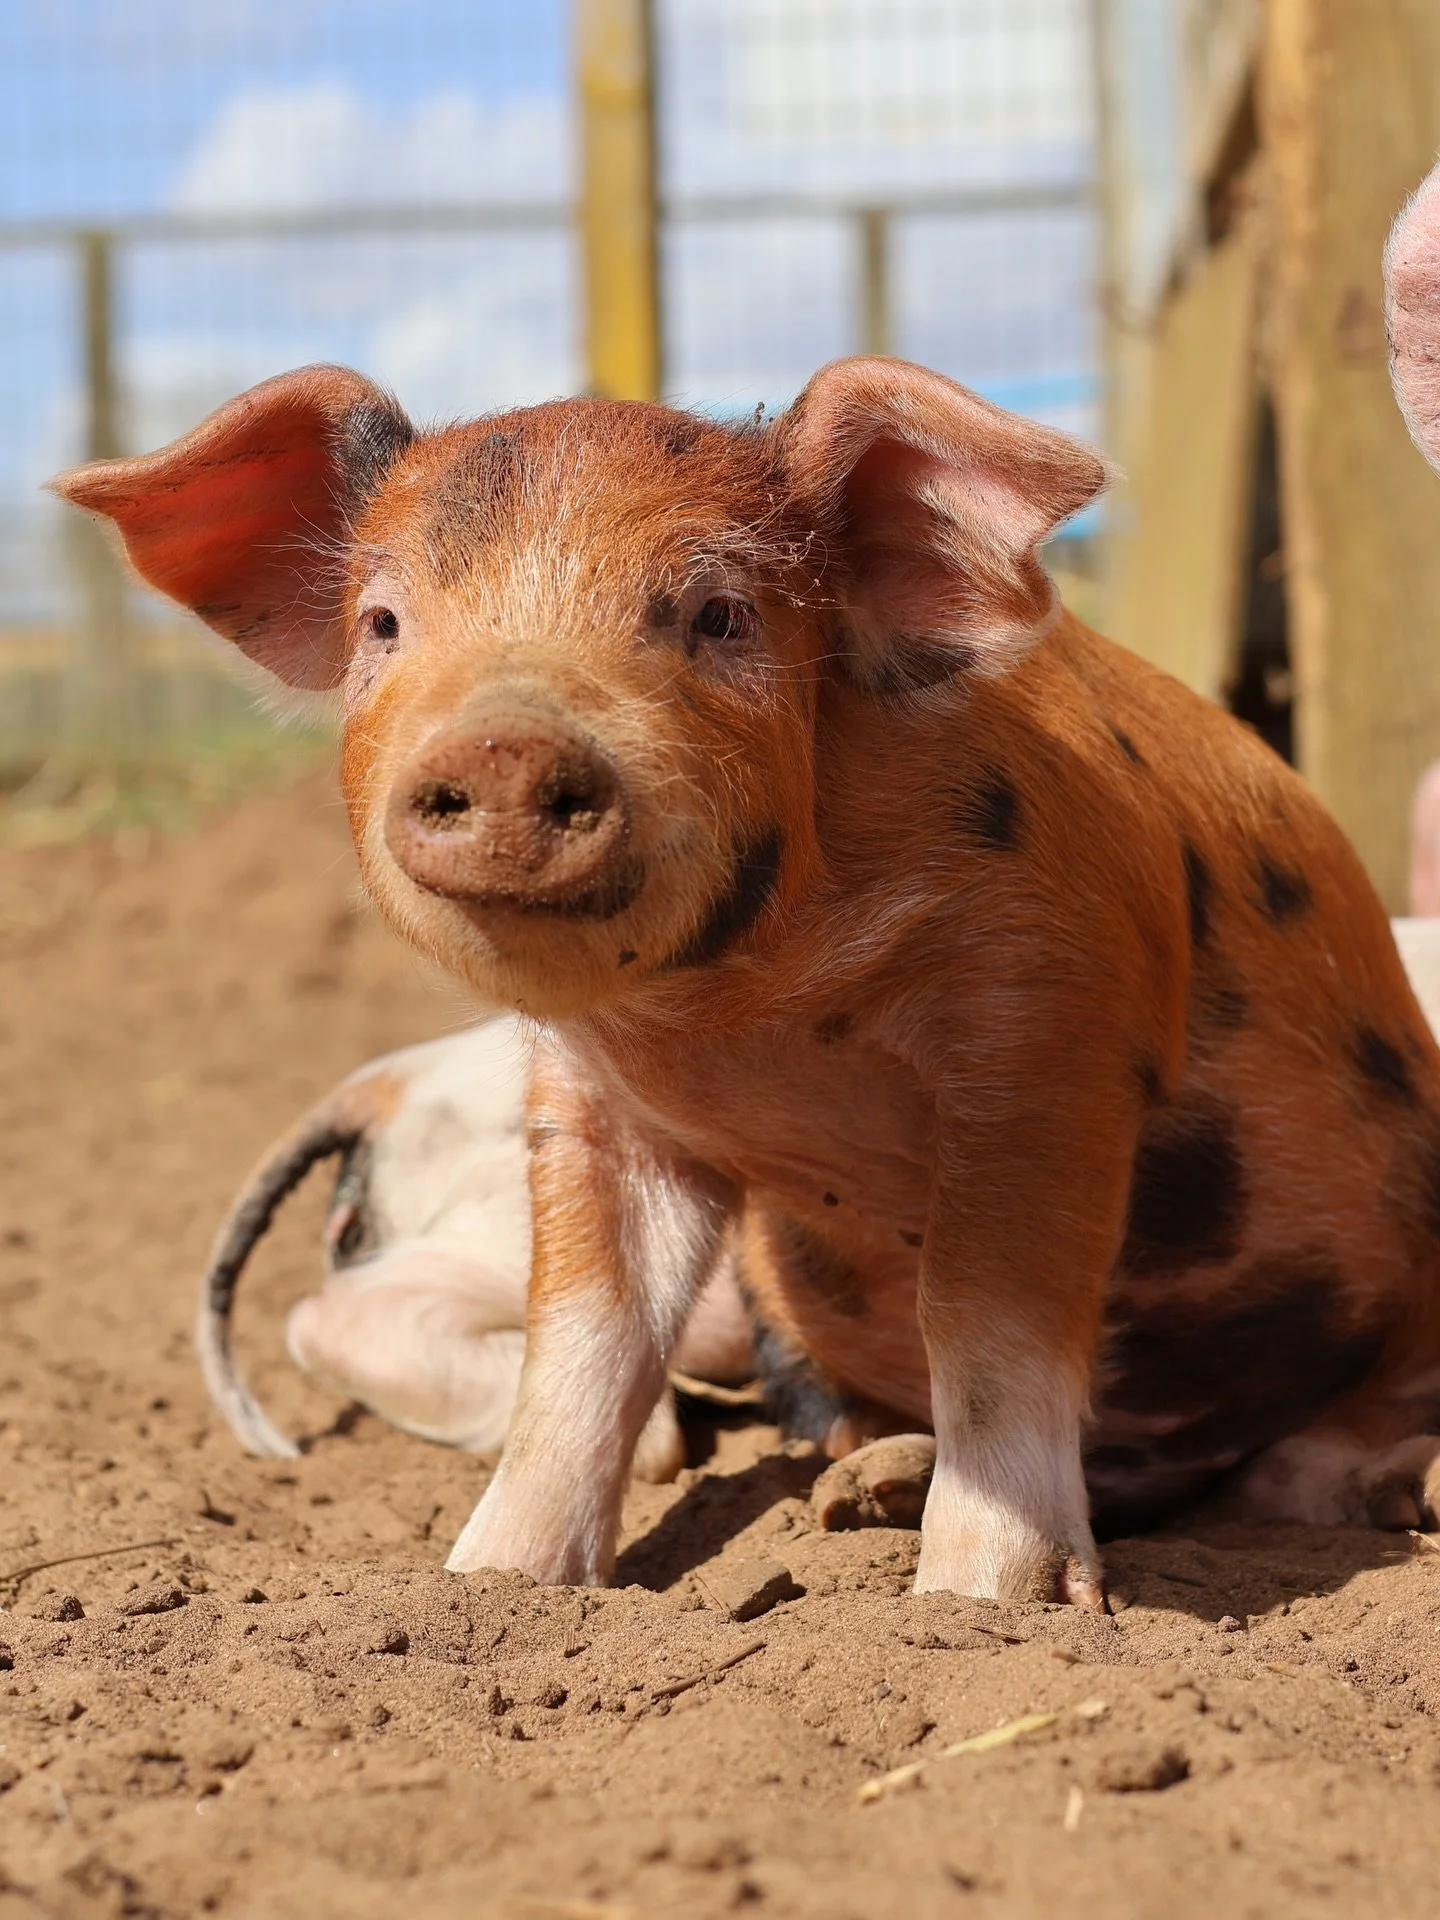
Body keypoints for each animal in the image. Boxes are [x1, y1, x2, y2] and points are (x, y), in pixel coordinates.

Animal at [53, 355, 1440, 1606]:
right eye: (382, 627)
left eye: (719, 614)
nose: (505, 742)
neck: (753, 1013)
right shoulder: (593, 1109)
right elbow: (585, 1338)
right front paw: (492, 1588)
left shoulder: (1053, 1031)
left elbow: (983, 1322)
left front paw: (982, 1607)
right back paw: (838, 1479)